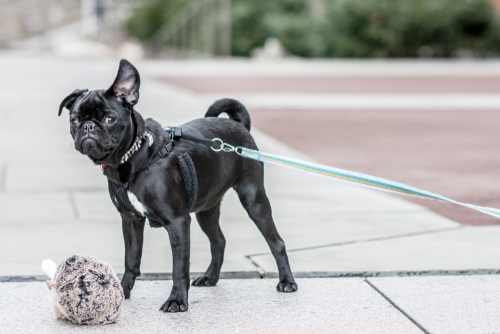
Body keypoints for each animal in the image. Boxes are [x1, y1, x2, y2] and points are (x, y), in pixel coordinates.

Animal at [58, 58, 296, 312]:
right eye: (74, 120)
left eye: (109, 119)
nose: (88, 127)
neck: (134, 157)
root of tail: (238, 124)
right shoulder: (131, 221)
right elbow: (131, 260)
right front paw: (122, 292)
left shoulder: (178, 222)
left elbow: (179, 268)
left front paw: (177, 300)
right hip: (206, 210)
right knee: (218, 241)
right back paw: (210, 277)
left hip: (253, 199)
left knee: (277, 242)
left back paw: (287, 282)